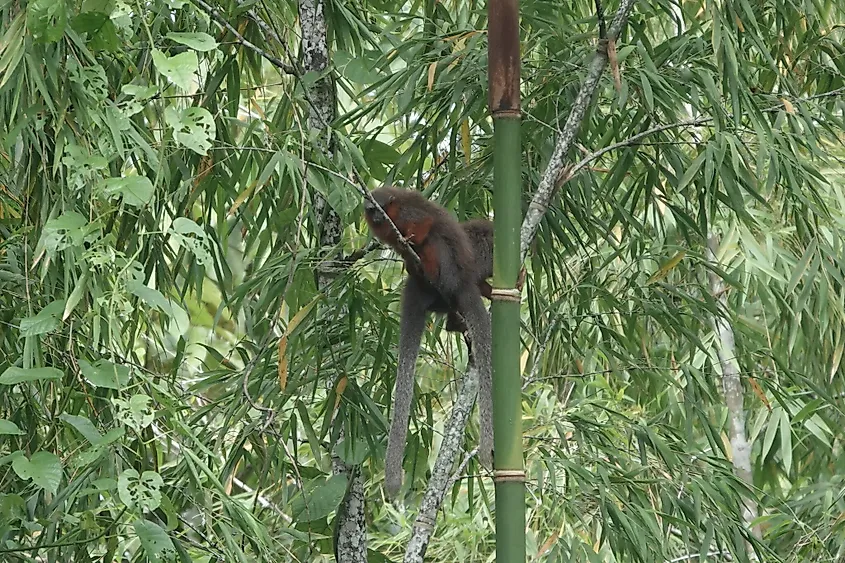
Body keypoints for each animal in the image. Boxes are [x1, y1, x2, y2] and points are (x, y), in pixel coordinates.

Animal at [363, 186, 494, 497]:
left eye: (377, 207)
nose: (376, 216)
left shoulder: (405, 213)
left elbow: (425, 225)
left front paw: (411, 240)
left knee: (436, 241)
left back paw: (430, 271)